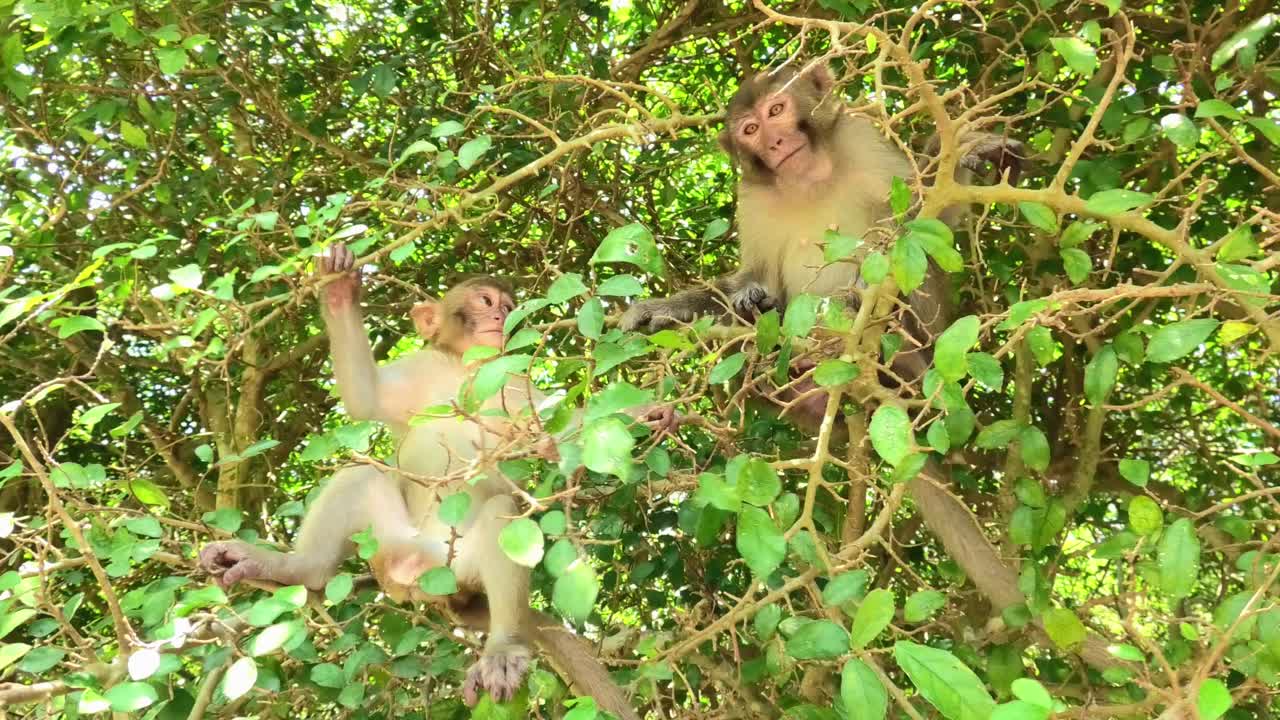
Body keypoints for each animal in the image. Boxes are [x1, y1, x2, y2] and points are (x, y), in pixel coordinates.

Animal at [199, 244, 649, 719]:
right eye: (485, 301)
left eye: (508, 306)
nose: (500, 315)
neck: (468, 371)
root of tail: (417, 573)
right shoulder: (421, 367)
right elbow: (365, 399)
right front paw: (339, 290)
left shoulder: (515, 386)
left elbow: (562, 433)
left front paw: (649, 412)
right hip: (390, 540)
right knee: (361, 474)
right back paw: (298, 568)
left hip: (460, 568)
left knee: (503, 515)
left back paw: (504, 647)